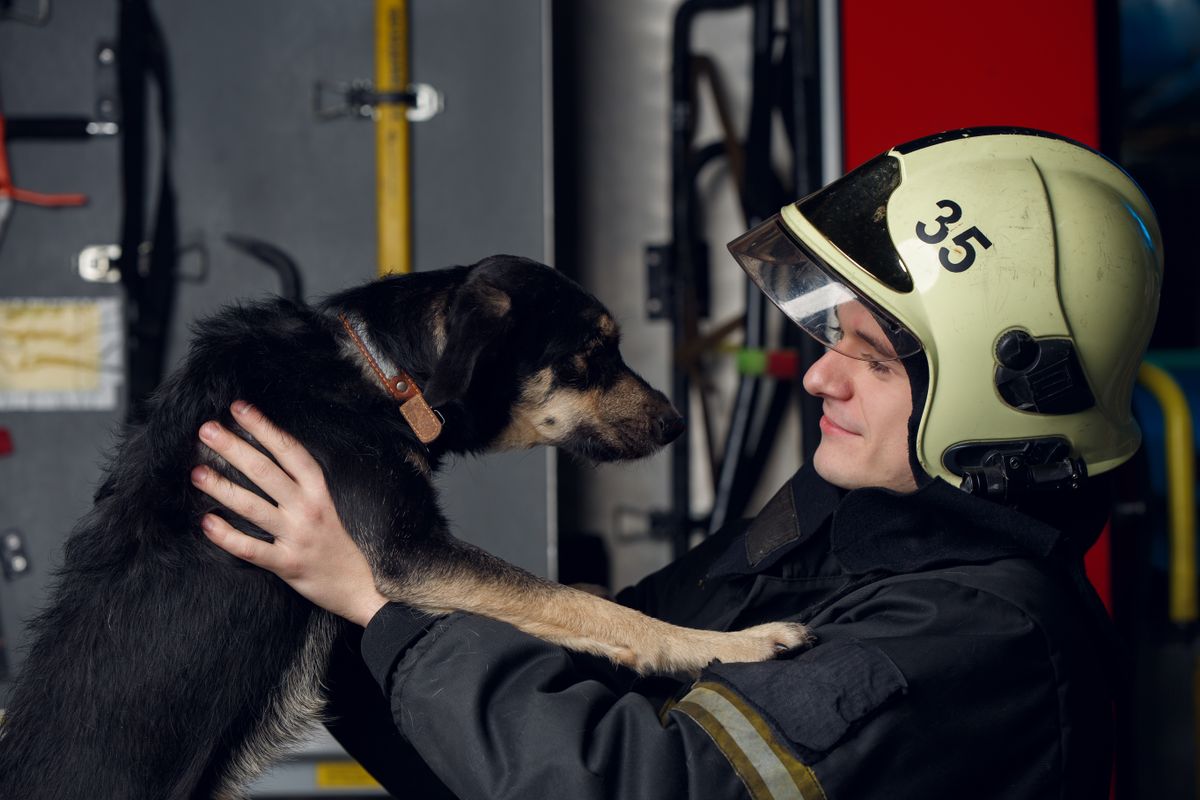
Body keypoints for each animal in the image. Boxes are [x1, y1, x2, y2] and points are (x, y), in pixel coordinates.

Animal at [2, 257, 806, 800]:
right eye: (592, 356)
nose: (677, 424)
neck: (380, 371)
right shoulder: (408, 554)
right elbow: (589, 606)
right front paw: (733, 644)